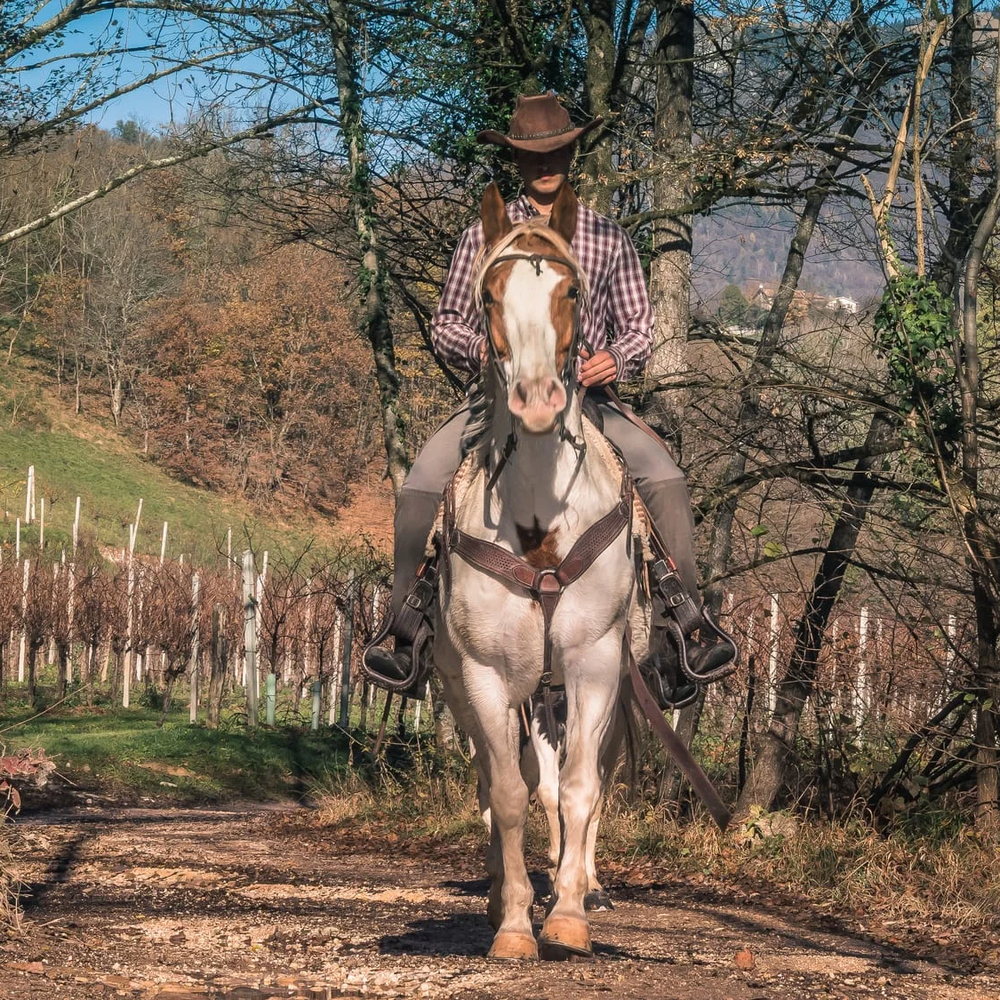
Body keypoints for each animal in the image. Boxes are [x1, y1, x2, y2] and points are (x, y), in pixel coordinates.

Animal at [432, 181, 651, 960]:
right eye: (489, 295)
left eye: (571, 290)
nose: (536, 401)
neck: (539, 531)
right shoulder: (485, 677)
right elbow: (507, 795)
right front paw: (514, 924)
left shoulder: (595, 664)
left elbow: (581, 788)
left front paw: (569, 914)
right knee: (499, 782)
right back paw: (508, 893)